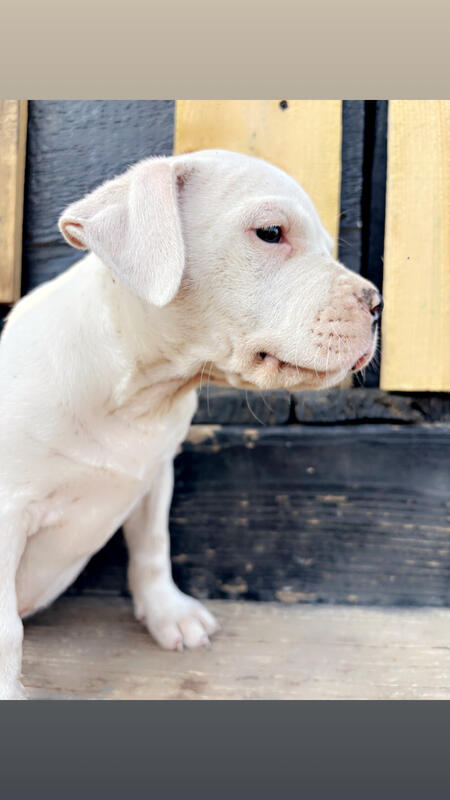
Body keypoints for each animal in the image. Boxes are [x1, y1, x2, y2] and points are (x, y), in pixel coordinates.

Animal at [0, 149, 382, 699]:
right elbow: (7, 628)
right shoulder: (7, 512)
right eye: (271, 232)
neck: (137, 393)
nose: (377, 305)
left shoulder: (155, 476)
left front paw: (168, 615)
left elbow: (154, 547)